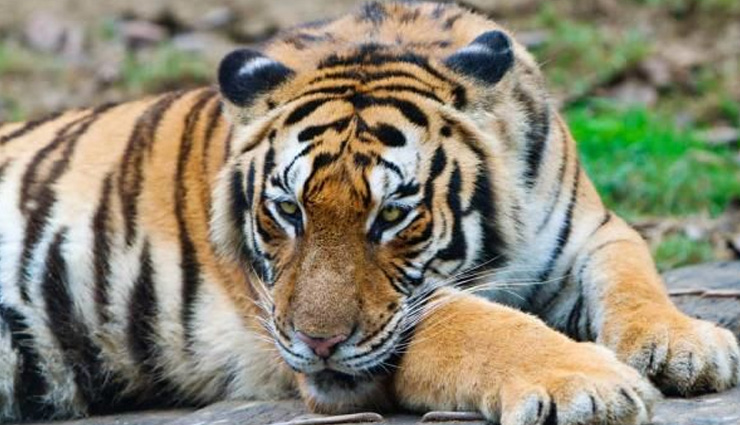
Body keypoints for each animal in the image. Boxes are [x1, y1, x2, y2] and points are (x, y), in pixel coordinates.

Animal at [0, 1, 738, 424]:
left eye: (392, 215)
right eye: (287, 211)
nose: (317, 344)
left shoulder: (591, 231)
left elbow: (633, 274)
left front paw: (686, 345)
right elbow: (475, 323)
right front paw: (588, 384)